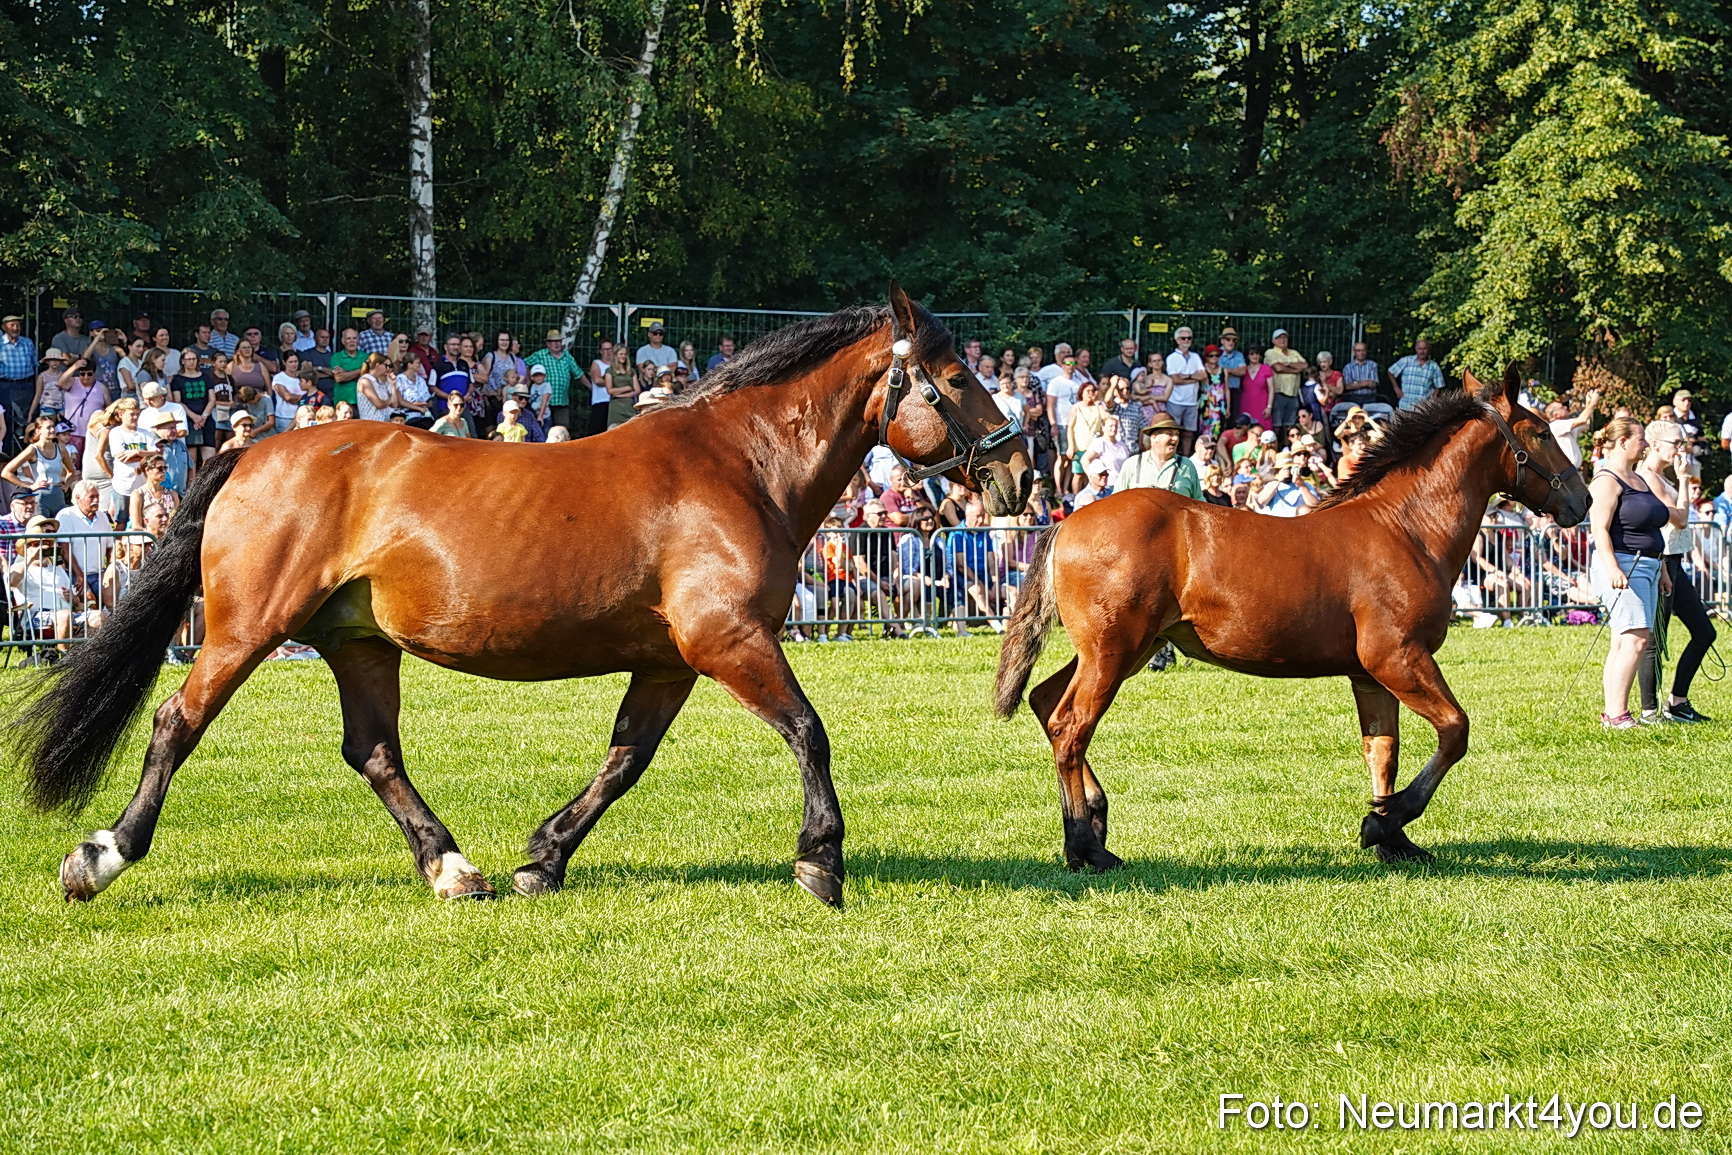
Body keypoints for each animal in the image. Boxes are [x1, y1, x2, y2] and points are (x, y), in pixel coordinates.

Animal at [13, 284, 1032, 908]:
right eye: (953, 378)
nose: (1022, 470)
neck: (739, 467)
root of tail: (253, 450)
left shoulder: (671, 661)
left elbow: (624, 761)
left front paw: (544, 855)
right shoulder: (728, 640)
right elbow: (808, 731)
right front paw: (821, 858)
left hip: (357, 642)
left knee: (373, 749)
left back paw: (452, 866)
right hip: (244, 630)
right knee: (175, 723)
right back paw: (100, 856)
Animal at [992, 365, 1590, 869]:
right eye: (1541, 432)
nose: (1581, 501)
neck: (1405, 529)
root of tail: (1066, 523)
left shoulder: (1370, 676)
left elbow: (1384, 753)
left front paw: (1391, 836)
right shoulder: (1398, 658)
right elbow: (1455, 730)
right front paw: (1388, 820)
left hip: (1122, 652)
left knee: (1046, 703)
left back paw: (1095, 820)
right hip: (1113, 652)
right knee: (1071, 726)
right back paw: (1085, 846)